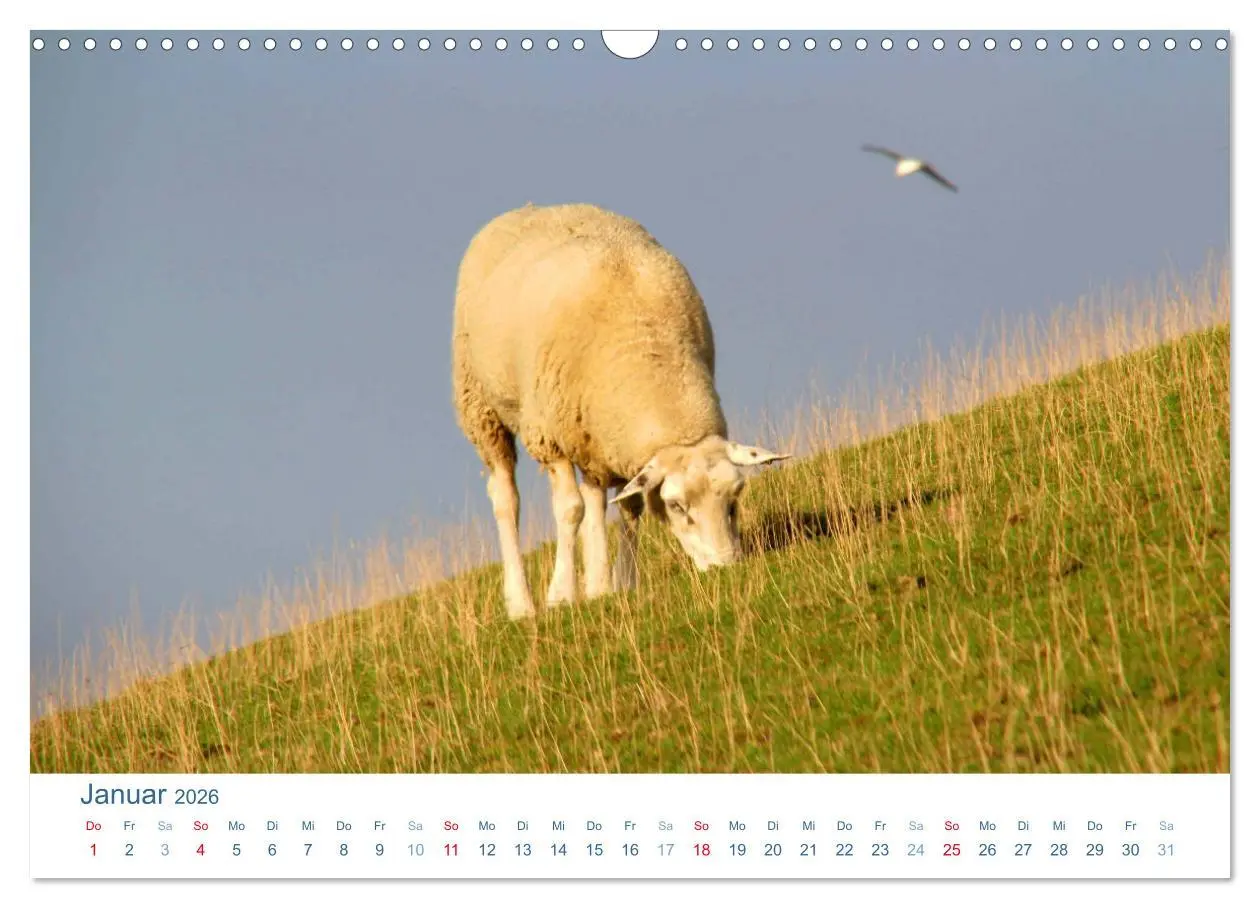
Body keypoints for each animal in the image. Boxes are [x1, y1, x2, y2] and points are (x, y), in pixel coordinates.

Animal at [451, 202, 790, 619]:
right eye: (676, 506)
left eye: (734, 500)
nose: (725, 567)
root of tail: (533, 207)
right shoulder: (549, 435)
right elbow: (570, 510)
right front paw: (561, 595)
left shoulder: (618, 446)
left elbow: (628, 507)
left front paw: (621, 583)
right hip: (481, 405)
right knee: (506, 498)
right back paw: (522, 603)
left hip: (590, 431)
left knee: (596, 496)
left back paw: (597, 582)